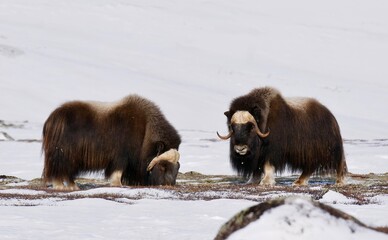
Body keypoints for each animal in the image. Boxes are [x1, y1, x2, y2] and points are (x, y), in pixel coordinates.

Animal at [41, 94, 181, 190]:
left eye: (178, 167)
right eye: (162, 166)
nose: (169, 185)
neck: (146, 133)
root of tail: (52, 119)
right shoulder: (121, 157)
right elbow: (117, 172)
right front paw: (118, 185)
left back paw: (73, 186)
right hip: (62, 154)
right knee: (59, 169)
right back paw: (61, 186)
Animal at [217, 86, 348, 186]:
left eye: (251, 126)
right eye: (233, 127)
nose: (240, 148)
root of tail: (331, 116)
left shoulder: (273, 150)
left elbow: (268, 165)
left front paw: (266, 182)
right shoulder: (259, 155)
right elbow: (257, 168)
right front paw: (251, 181)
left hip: (329, 150)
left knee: (338, 163)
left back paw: (339, 182)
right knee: (310, 167)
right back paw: (299, 182)